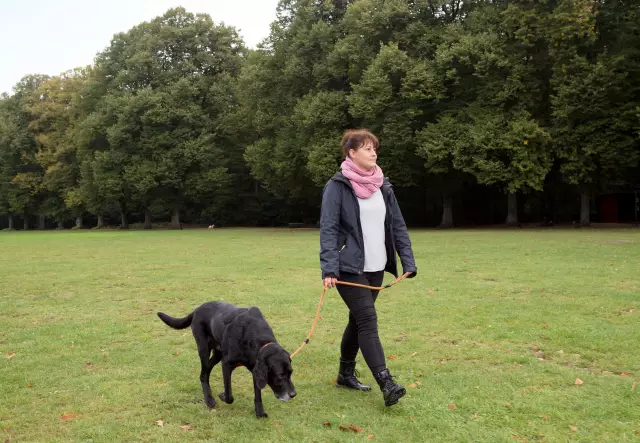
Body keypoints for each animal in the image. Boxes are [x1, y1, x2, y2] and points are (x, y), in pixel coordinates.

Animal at [156, 300, 296, 418]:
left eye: (290, 373)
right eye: (280, 375)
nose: (293, 394)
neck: (255, 338)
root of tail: (197, 308)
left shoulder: (255, 369)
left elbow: (258, 394)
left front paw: (259, 413)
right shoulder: (227, 364)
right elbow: (229, 394)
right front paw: (222, 396)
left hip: (217, 354)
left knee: (206, 371)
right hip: (204, 349)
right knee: (203, 374)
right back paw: (209, 399)